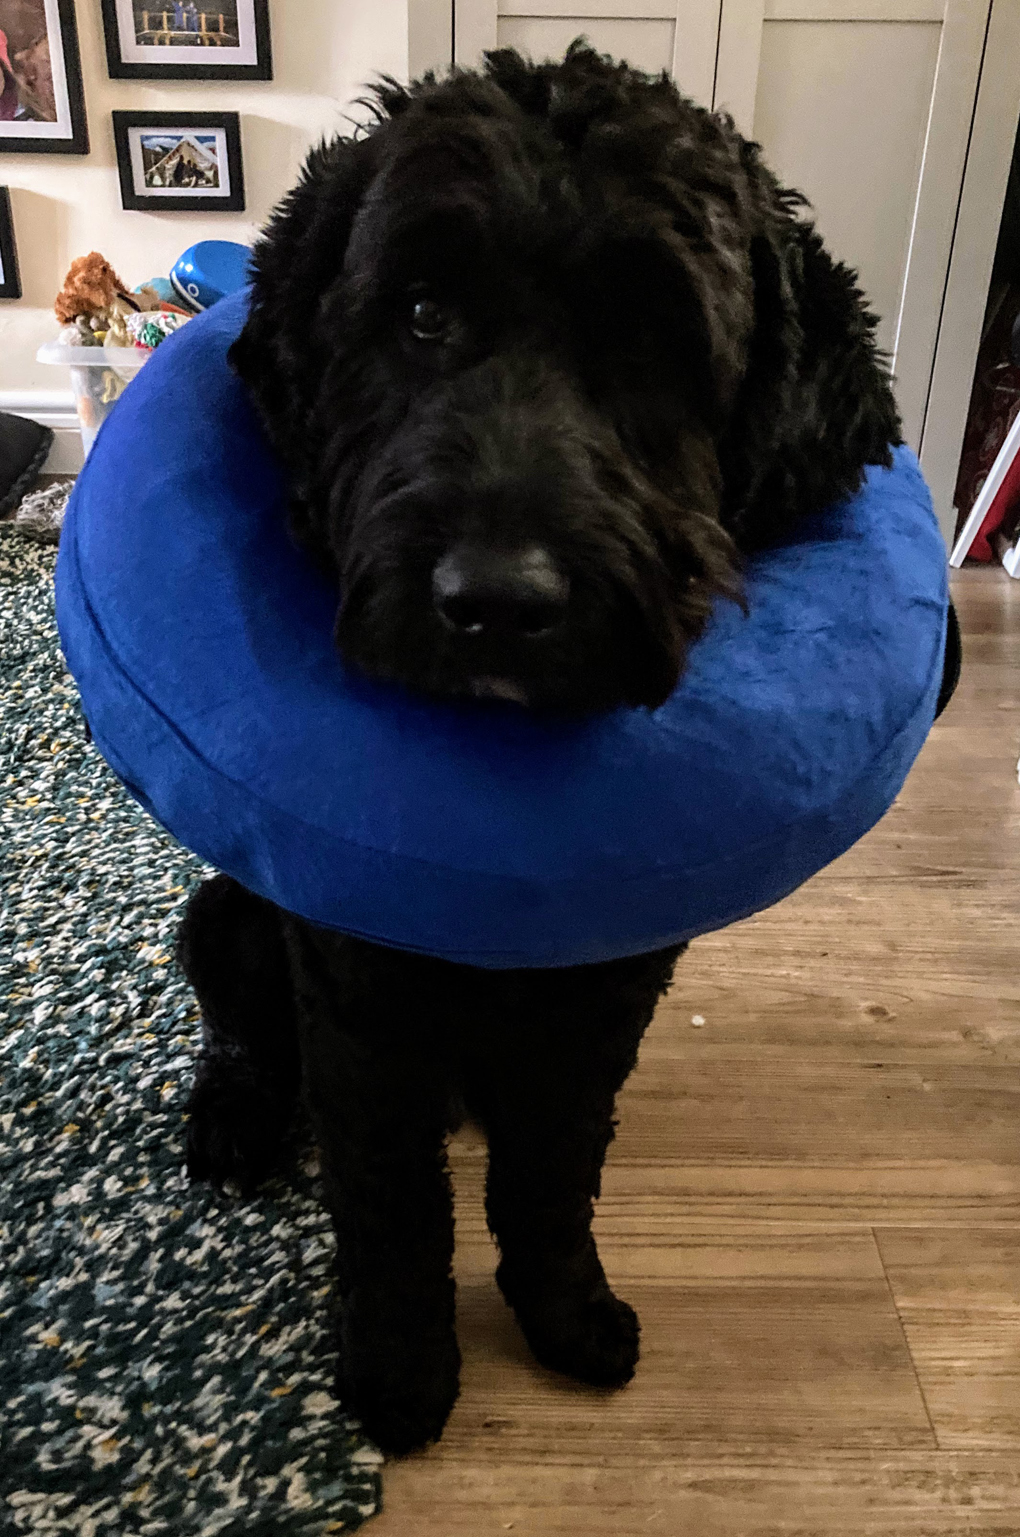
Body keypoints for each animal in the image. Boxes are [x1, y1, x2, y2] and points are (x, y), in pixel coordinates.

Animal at [177, 39, 909, 1450]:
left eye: (655, 339)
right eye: (419, 314)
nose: (498, 599)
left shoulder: (604, 996)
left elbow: (556, 1166)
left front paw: (564, 1312)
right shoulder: (360, 998)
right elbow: (393, 1197)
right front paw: (402, 1369)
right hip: (223, 919)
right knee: (247, 1037)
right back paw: (233, 1119)